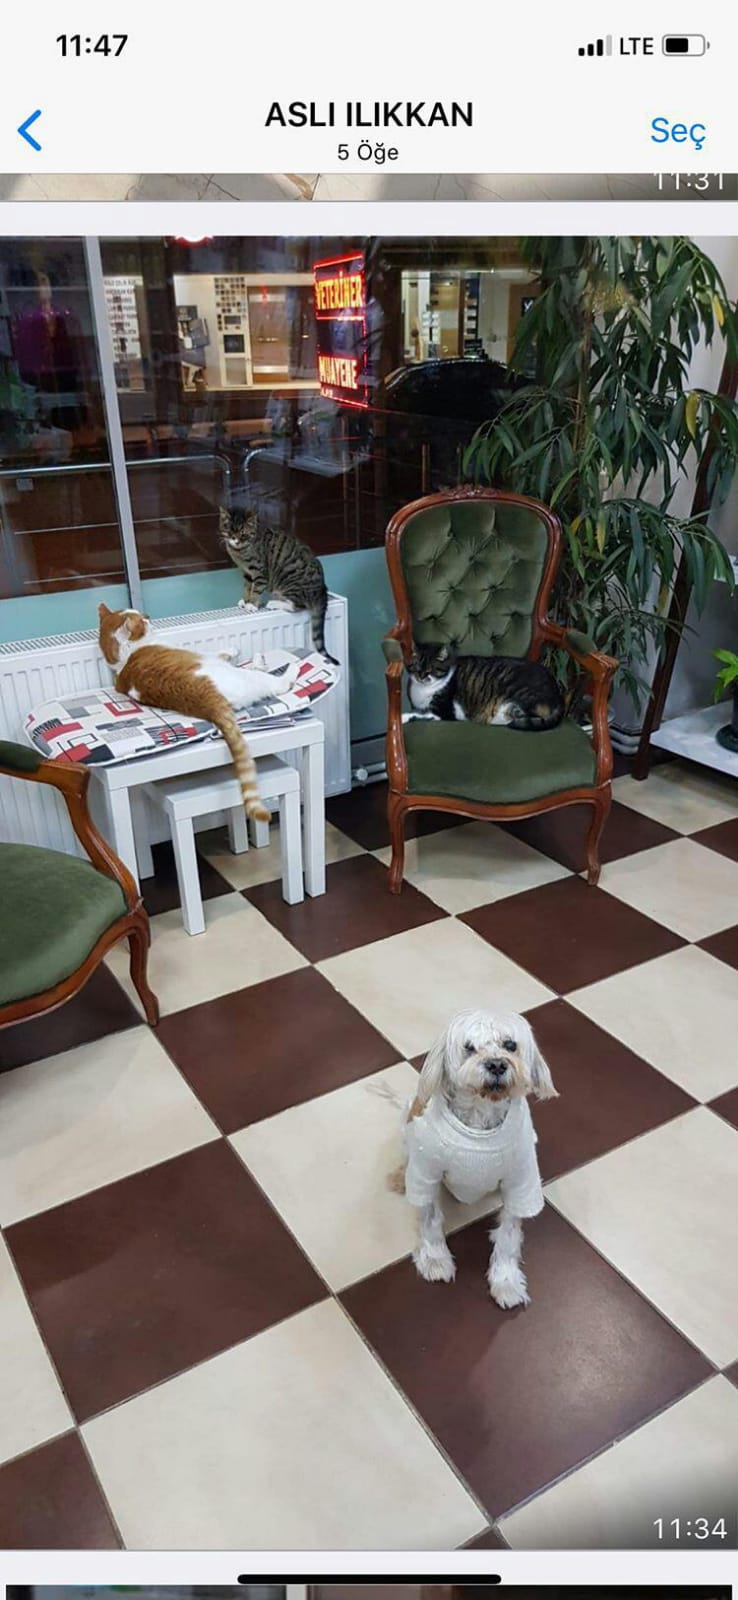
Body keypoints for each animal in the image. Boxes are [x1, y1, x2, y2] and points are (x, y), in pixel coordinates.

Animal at [97, 603, 299, 823]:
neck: (124, 658)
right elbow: (221, 653)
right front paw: (237, 651)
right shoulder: (206, 655)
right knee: (277, 682)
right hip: (247, 678)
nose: (148, 616)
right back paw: (288, 667)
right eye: (141, 620)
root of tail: (208, 703)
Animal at [219, 506, 338, 664]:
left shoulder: (259, 572)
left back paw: (274, 603)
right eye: (230, 531)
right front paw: (245, 601)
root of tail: (322, 590)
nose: (236, 541)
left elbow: (256, 589)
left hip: (291, 582)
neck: (240, 553)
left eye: (243, 534)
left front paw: (252, 604)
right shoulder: (246, 573)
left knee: (297, 606)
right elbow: (247, 587)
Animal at [400, 1008, 557, 1307]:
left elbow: (508, 1235)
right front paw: (435, 1259)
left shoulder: (521, 1182)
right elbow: (430, 1218)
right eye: (469, 1048)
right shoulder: (426, 1173)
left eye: (510, 1045)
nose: (496, 1065)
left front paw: (506, 1281)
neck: (480, 1113)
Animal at [405, 641, 565, 731]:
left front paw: (404, 717)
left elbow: (419, 713)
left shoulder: (443, 711)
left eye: (430, 669)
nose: (421, 676)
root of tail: (559, 694)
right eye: (417, 667)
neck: (423, 690)